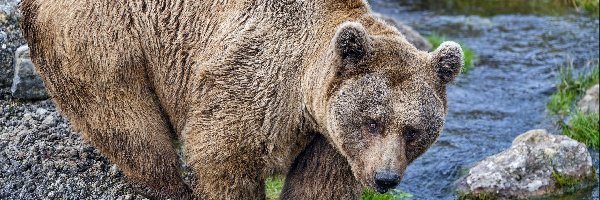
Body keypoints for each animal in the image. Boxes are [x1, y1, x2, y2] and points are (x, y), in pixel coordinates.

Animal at [18, 0, 462, 198]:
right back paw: (168, 186)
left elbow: (319, 184)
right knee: (129, 123)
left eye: (413, 130)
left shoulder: (331, 138)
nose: (385, 178)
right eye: (373, 121)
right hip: (106, 38)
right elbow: (226, 157)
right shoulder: (252, 84)